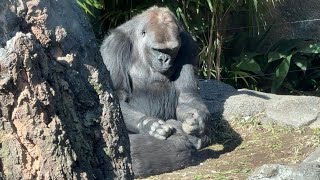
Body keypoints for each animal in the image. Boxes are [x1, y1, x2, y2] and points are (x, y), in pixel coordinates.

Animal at [100, 5, 210, 177]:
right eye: (157, 49)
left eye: (171, 50)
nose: (164, 60)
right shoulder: (115, 45)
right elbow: (116, 97)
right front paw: (149, 124)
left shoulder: (188, 45)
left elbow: (187, 95)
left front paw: (197, 119)